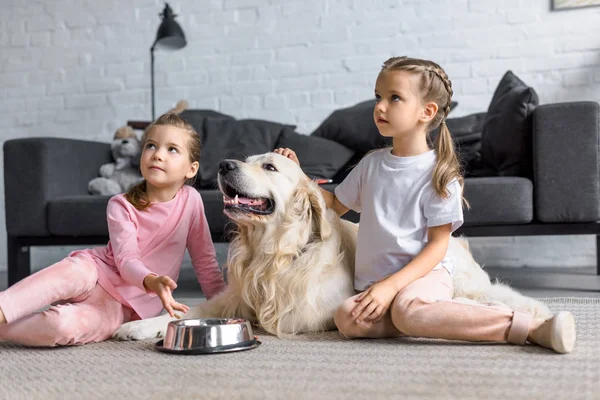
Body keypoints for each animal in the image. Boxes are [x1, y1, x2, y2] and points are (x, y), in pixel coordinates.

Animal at [111, 153, 548, 340]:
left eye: (269, 166)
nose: (222, 165)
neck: (273, 254)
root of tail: (455, 238)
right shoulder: (233, 299)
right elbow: (192, 311)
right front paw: (139, 325)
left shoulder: (304, 313)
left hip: (459, 280)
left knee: (495, 297)